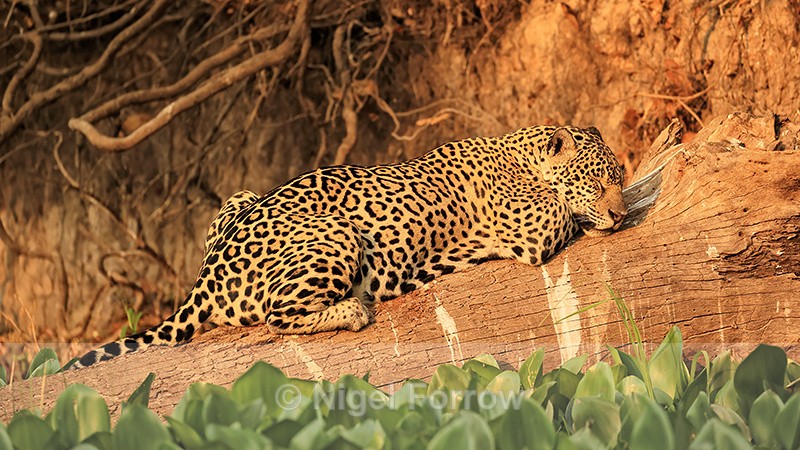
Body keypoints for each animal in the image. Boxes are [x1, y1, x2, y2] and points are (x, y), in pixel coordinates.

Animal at [71, 125, 627, 369]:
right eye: (598, 181)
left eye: (620, 177)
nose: (621, 213)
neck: (522, 150)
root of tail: (207, 273)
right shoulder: (534, 226)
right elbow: (564, 210)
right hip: (337, 234)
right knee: (277, 316)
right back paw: (355, 308)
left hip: (240, 195)